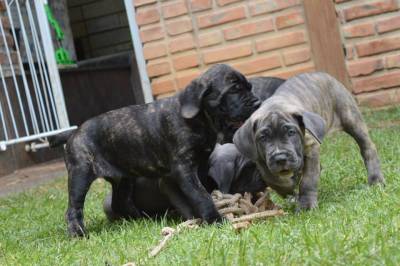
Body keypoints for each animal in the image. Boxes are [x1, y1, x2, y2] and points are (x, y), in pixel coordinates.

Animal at [57, 64, 260, 237]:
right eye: (234, 90)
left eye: (249, 87)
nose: (257, 102)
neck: (201, 120)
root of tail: (74, 133)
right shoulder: (183, 170)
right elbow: (200, 195)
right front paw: (214, 220)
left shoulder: (196, 167)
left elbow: (195, 194)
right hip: (81, 174)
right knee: (73, 208)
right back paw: (78, 233)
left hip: (124, 179)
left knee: (119, 202)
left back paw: (142, 220)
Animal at [234, 71, 384, 209]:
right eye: (263, 138)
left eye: (291, 132)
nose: (280, 158)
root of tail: (322, 73)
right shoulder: (261, 160)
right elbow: (272, 179)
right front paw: (289, 190)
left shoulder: (312, 147)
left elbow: (308, 179)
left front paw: (306, 204)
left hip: (350, 117)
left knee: (368, 147)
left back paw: (376, 179)